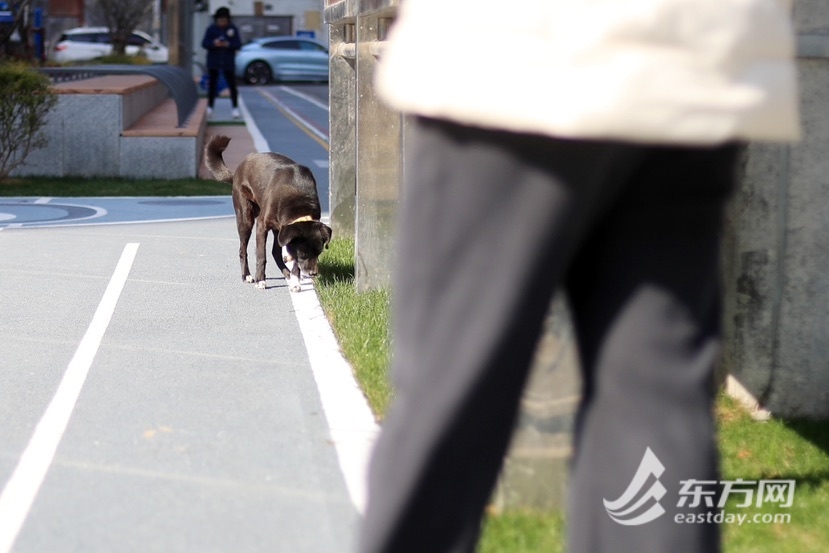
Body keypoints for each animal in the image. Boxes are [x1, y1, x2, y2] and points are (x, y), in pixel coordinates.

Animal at [204, 135, 332, 292]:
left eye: (319, 253)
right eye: (304, 254)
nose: (313, 273)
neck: (299, 203)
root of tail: (238, 170)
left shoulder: (286, 231)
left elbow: (292, 260)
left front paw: (295, 280)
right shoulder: (262, 225)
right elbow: (261, 256)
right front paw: (260, 280)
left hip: (279, 230)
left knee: (275, 252)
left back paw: (288, 274)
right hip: (245, 218)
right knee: (242, 249)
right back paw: (246, 275)